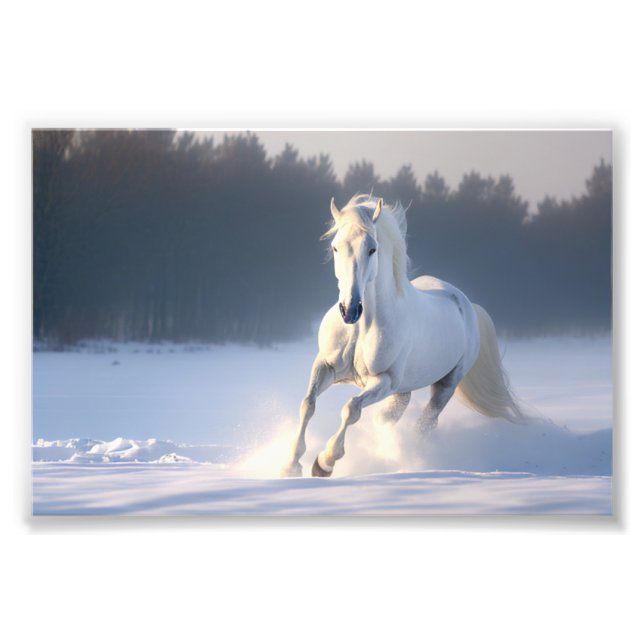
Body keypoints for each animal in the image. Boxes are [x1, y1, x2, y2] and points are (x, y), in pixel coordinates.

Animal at [280, 194, 524, 478]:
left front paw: (324, 463)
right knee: (390, 417)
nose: (350, 310)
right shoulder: (326, 366)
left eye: (372, 249)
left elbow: (351, 409)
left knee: (425, 424)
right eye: (335, 248)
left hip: (445, 385)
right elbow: (308, 404)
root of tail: (467, 304)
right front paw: (290, 465)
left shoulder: (383, 381)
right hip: (402, 390)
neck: (360, 330)